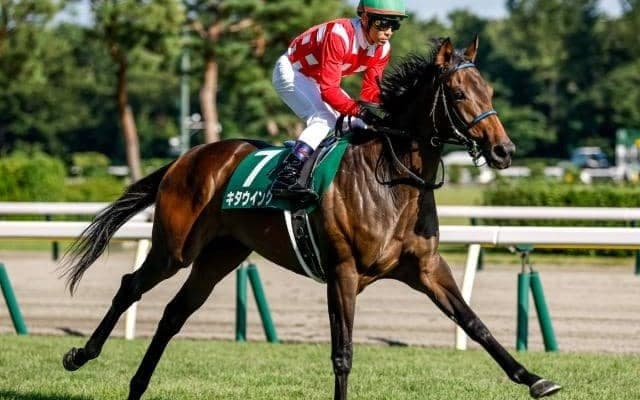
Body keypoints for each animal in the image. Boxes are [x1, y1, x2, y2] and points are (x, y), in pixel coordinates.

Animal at [61, 37, 561, 400]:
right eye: (457, 93)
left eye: (489, 91)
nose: (504, 150)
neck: (392, 179)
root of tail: (187, 157)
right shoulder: (342, 271)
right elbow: (343, 353)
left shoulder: (425, 268)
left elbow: (475, 324)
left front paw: (535, 378)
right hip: (175, 248)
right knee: (130, 286)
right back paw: (81, 355)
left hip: (221, 255)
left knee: (173, 314)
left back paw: (137, 386)